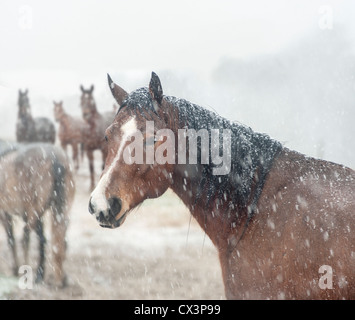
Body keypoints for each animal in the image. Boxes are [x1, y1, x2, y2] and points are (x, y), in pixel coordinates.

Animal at [0, 141, 75, 286]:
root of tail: (55, 160)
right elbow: (23, 238)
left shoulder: (5, 214)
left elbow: (12, 239)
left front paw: (16, 269)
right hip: (61, 213)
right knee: (61, 242)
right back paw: (61, 278)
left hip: (35, 215)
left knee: (41, 239)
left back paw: (39, 275)